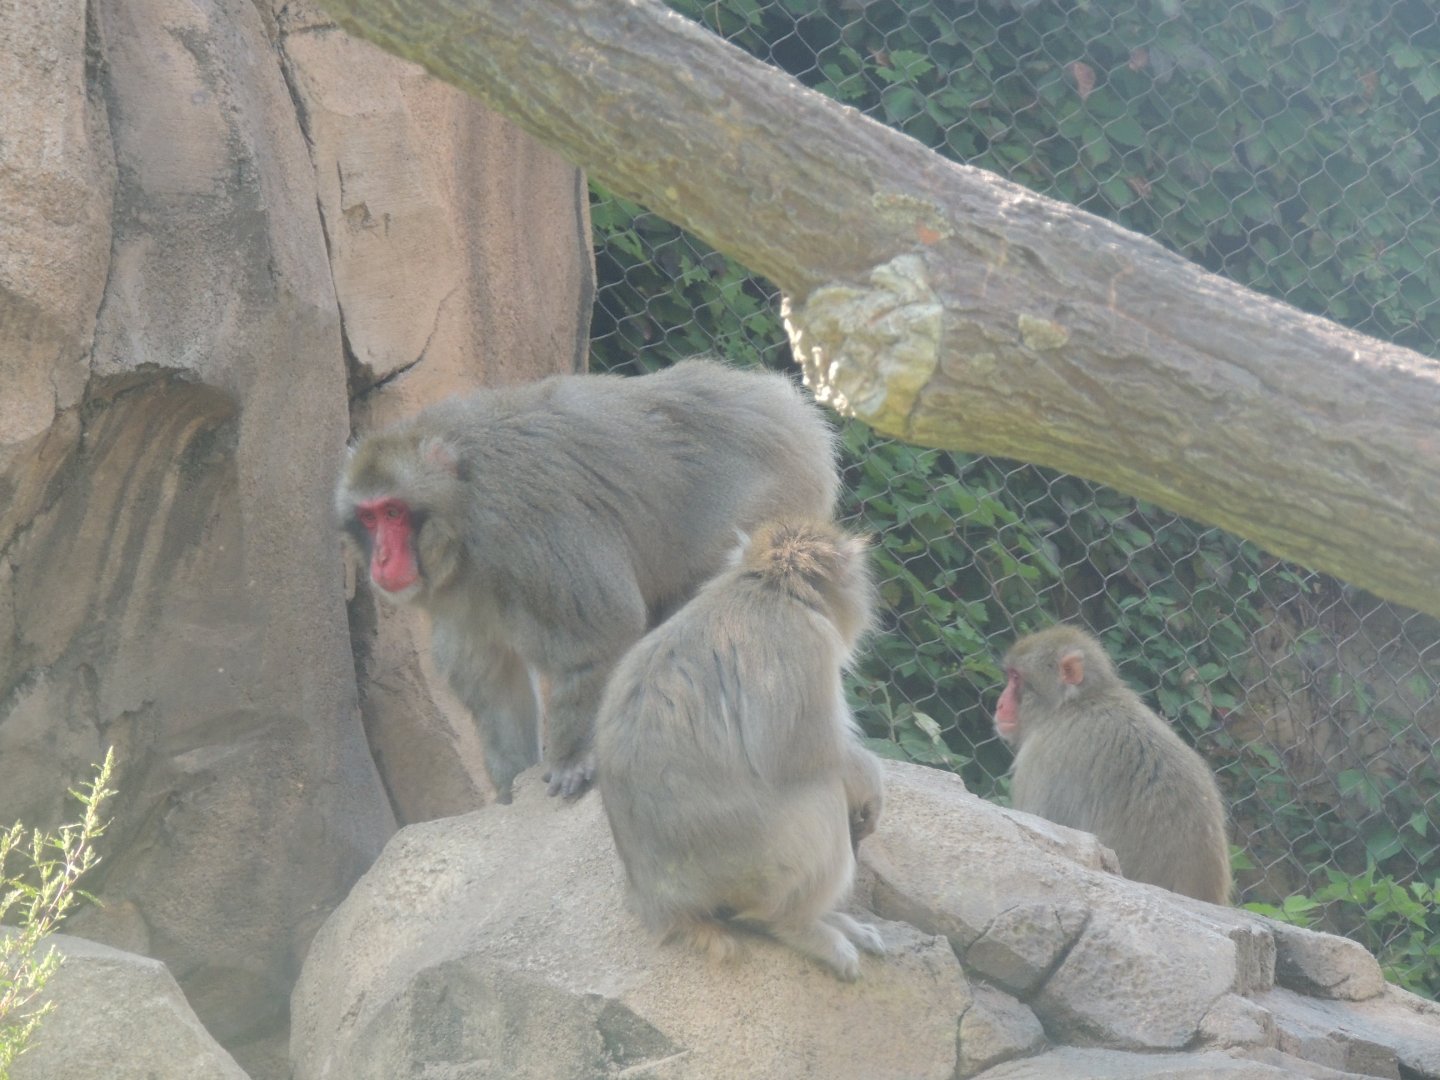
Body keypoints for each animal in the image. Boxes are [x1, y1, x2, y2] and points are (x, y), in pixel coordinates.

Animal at [336, 359, 839, 801]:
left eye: (394, 513)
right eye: (369, 517)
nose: (381, 559)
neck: (462, 503)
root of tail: (785, 407)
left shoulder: (525, 522)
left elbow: (600, 633)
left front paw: (572, 758)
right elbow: (494, 687)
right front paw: (507, 793)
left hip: (767, 505)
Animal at [595, 519, 886, 980]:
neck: (770, 588)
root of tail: (661, 903)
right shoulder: (806, 644)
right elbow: (809, 755)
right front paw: (870, 782)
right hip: (756, 870)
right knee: (819, 793)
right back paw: (801, 927)